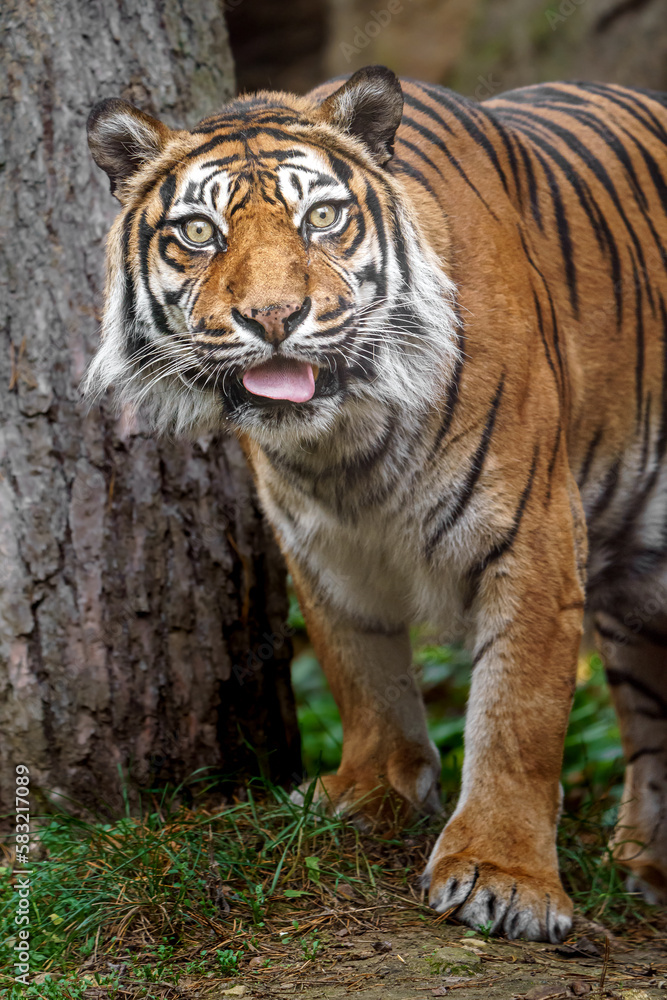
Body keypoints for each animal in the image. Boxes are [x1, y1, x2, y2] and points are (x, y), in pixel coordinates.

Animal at [85, 65, 667, 942]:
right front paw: (372, 789)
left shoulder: (530, 536)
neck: (343, 447)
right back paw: (647, 864)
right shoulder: (320, 547)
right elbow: (360, 669)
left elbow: (516, 716)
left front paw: (505, 878)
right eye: (198, 232)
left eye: (322, 217)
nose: (272, 318)